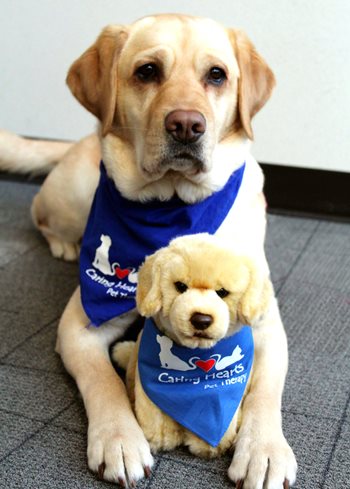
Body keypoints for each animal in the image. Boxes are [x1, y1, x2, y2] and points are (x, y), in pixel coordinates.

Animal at [1, 14, 296, 488]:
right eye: (147, 71)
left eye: (217, 75)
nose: (186, 125)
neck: (173, 209)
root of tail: (81, 140)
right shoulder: (78, 327)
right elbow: (102, 380)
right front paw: (119, 440)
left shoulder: (267, 325)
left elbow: (265, 392)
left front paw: (265, 449)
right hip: (70, 195)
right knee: (39, 213)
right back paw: (64, 244)